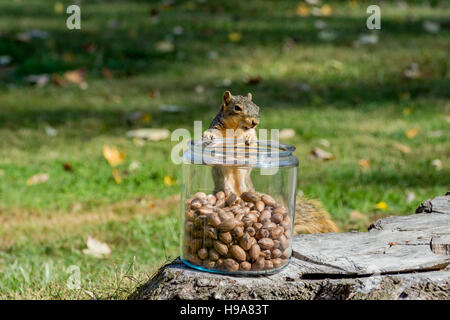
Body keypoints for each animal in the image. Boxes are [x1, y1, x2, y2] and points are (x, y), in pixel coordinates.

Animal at [202, 91, 340, 234]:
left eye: (257, 108)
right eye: (237, 108)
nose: (255, 122)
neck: (235, 128)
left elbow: (252, 141)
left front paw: (250, 139)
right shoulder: (217, 126)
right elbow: (215, 138)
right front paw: (208, 135)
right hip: (224, 188)